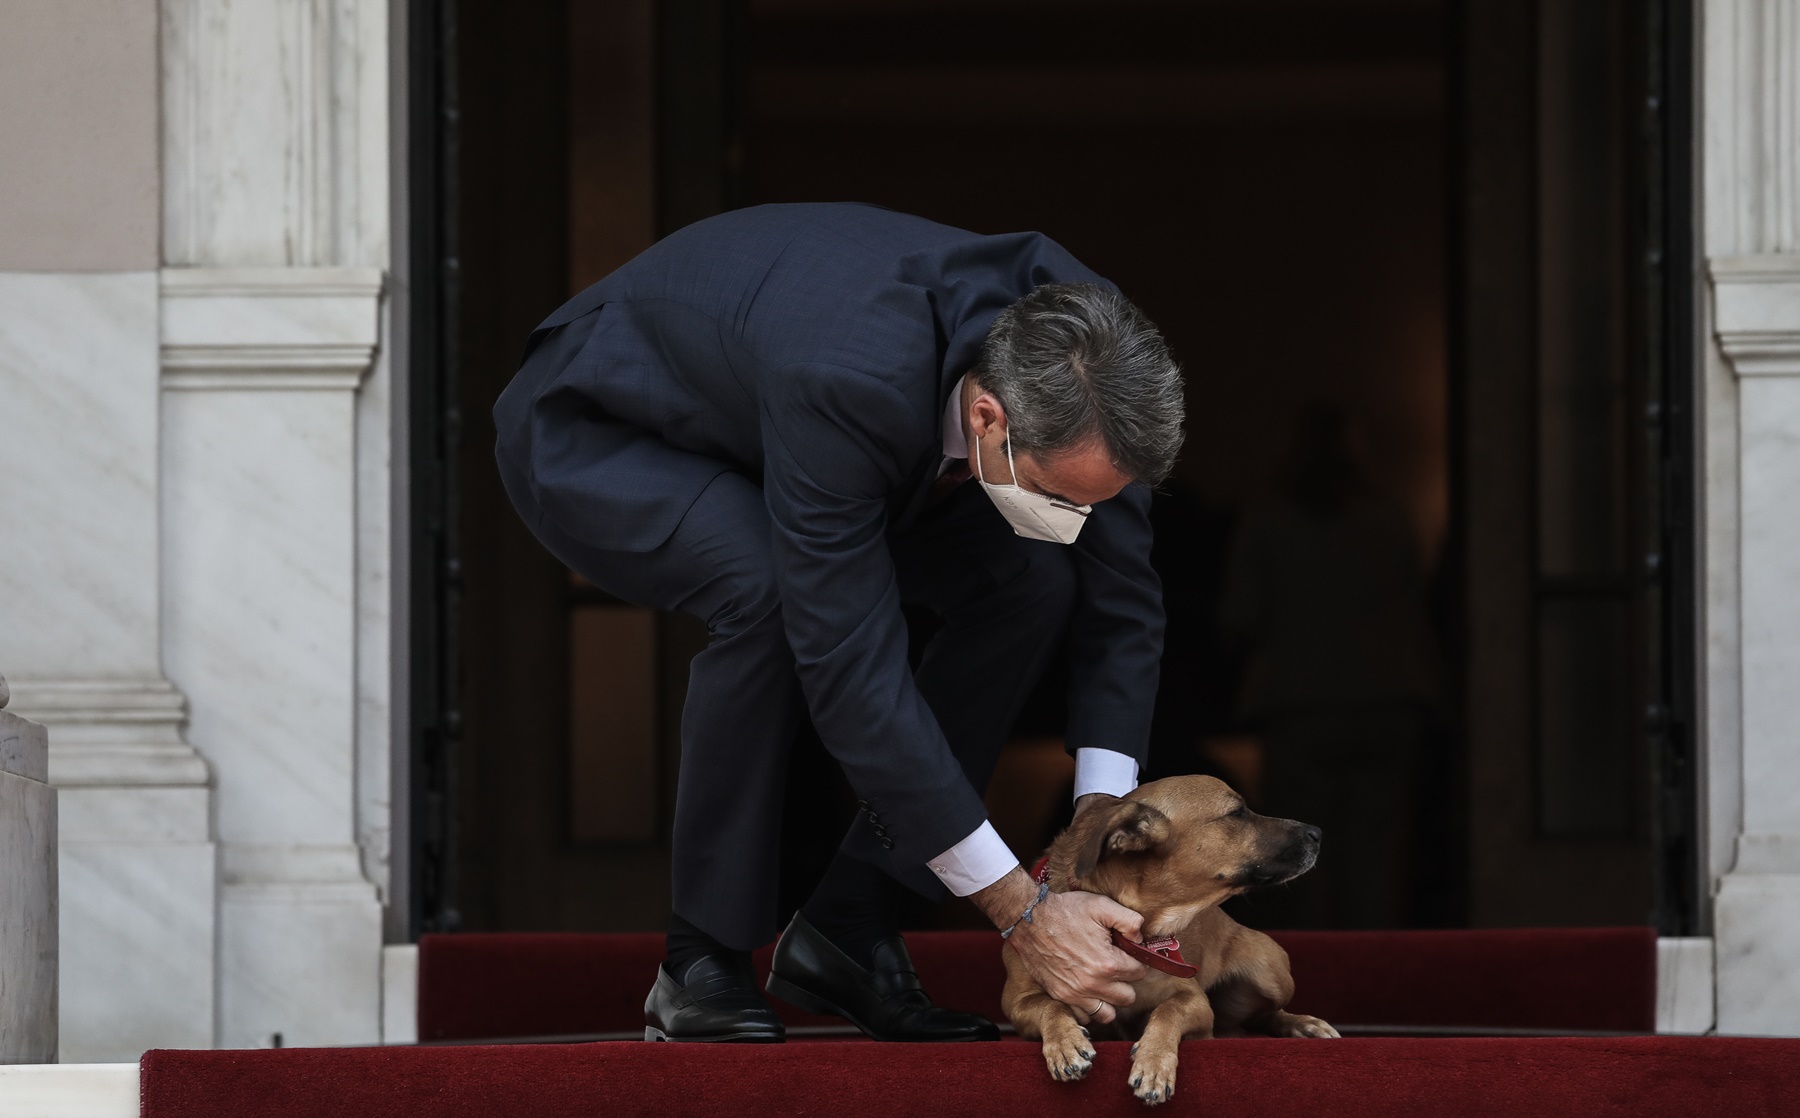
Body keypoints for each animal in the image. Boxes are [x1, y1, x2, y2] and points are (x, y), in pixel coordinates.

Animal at [1000, 781, 1339, 1101]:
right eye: (1237, 813)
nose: (1318, 832)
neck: (1131, 935)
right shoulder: (1017, 1002)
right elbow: (1048, 1004)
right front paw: (1065, 1042)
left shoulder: (1196, 1001)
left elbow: (1168, 1010)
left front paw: (1154, 1062)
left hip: (1270, 970)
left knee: (1266, 1014)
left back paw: (1304, 1024)